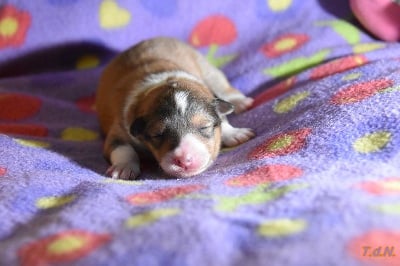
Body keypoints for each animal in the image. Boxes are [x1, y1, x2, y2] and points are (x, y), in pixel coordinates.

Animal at [95, 37, 255, 179]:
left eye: (204, 127)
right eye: (157, 134)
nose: (184, 160)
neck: (168, 81)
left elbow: (221, 117)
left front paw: (235, 133)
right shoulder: (119, 130)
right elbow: (123, 149)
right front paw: (123, 168)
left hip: (207, 69)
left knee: (222, 86)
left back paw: (240, 102)